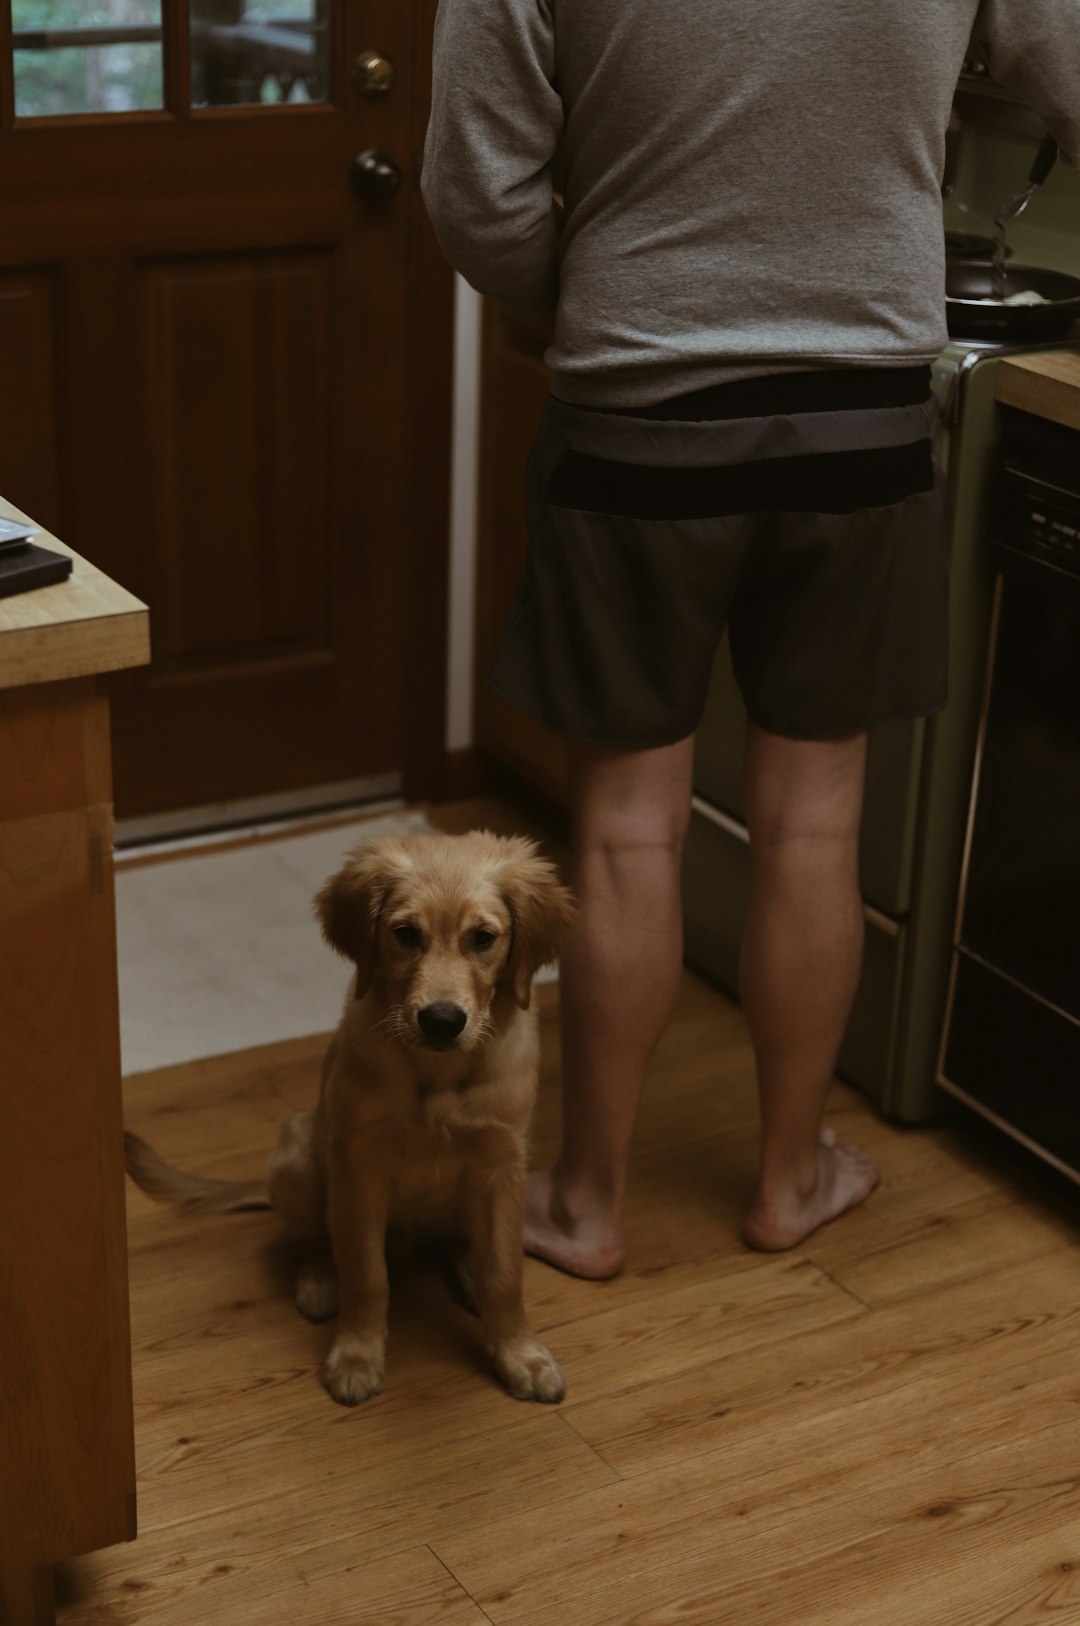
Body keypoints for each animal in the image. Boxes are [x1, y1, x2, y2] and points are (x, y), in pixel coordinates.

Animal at [124, 832, 572, 1404]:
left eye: (483, 938)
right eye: (406, 934)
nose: (442, 1021)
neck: (436, 1079)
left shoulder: (501, 1165)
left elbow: (504, 1272)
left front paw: (521, 1355)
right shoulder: (360, 1169)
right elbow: (366, 1274)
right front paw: (356, 1356)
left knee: (461, 1242)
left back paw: (467, 1276)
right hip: (297, 1157)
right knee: (317, 1237)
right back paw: (319, 1284)